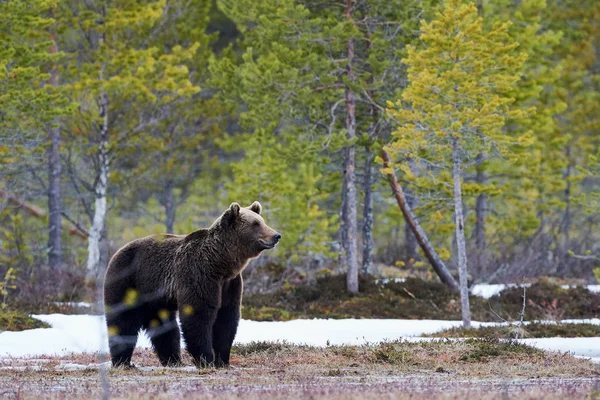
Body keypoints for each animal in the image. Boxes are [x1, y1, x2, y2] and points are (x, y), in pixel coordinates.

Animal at [103, 203, 282, 368]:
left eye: (262, 221)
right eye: (255, 223)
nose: (276, 235)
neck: (221, 263)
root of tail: (117, 251)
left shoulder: (230, 284)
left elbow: (226, 318)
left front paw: (223, 360)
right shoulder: (199, 275)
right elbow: (199, 315)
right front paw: (206, 359)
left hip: (154, 297)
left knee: (165, 327)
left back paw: (173, 360)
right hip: (127, 282)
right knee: (123, 320)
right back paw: (123, 361)